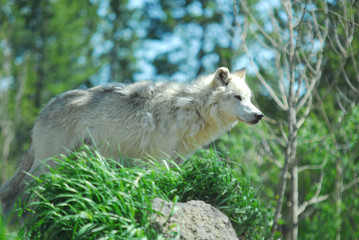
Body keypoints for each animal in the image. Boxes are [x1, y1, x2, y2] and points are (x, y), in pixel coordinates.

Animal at [0, 67, 264, 218]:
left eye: (250, 98)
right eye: (237, 97)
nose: (259, 115)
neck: (190, 108)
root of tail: (44, 110)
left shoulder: (175, 161)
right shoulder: (158, 159)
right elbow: (162, 186)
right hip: (50, 164)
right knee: (31, 192)